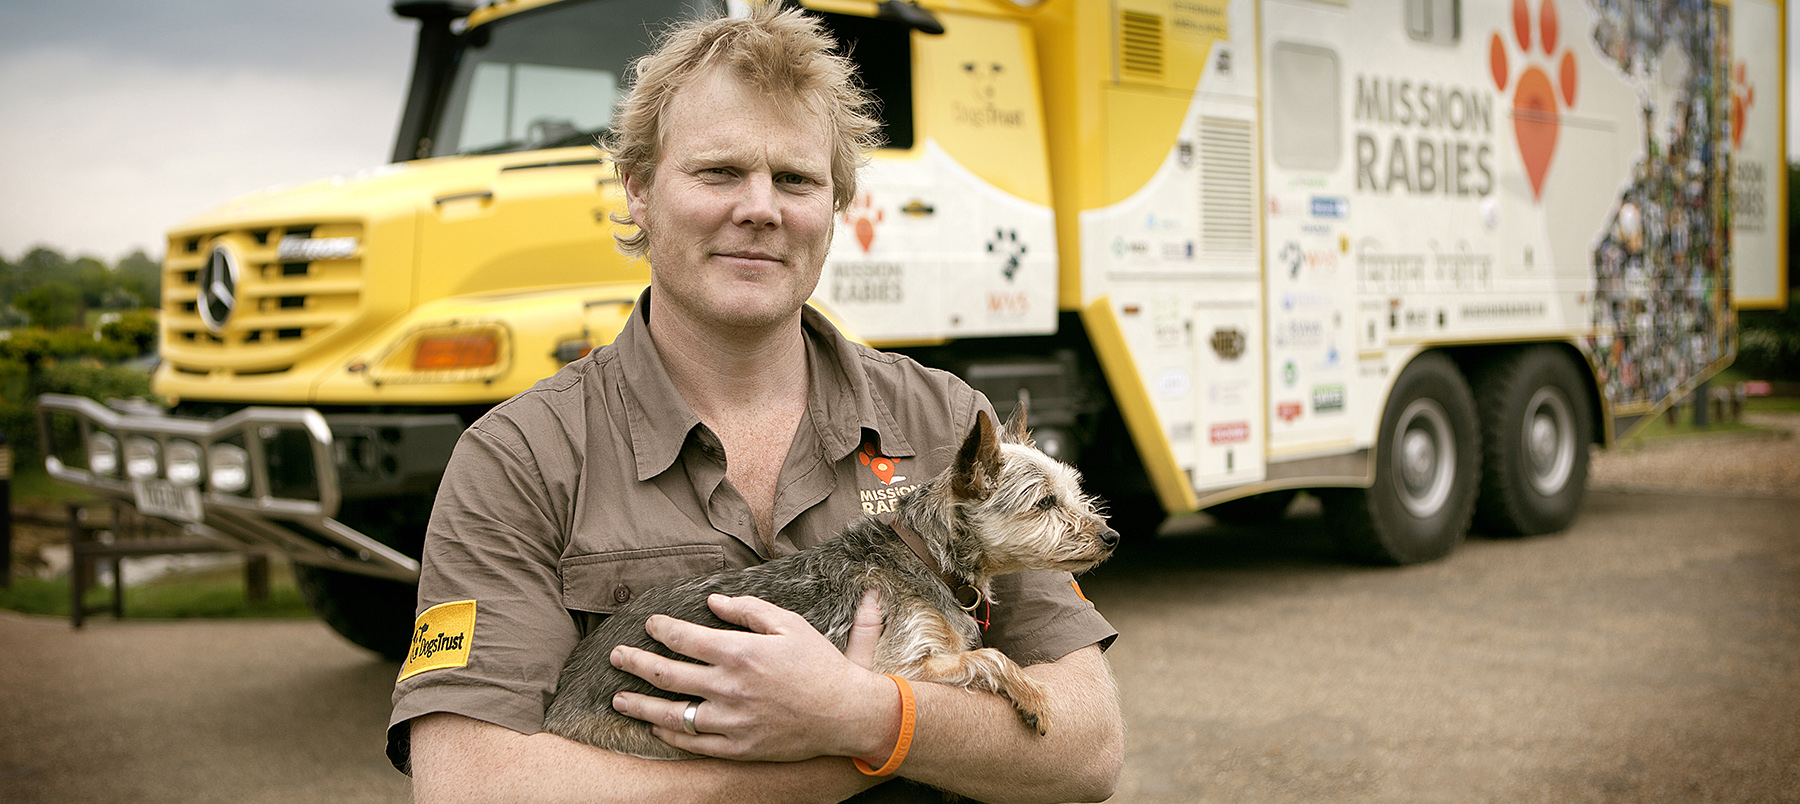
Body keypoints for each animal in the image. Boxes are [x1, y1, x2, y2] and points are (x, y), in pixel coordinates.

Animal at [540, 411, 1116, 759]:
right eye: (1045, 504)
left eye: (1075, 492)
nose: (1111, 535)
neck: (928, 557)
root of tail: (561, 699)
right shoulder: (901, 667)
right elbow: (993, 658)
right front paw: (1032, 695)